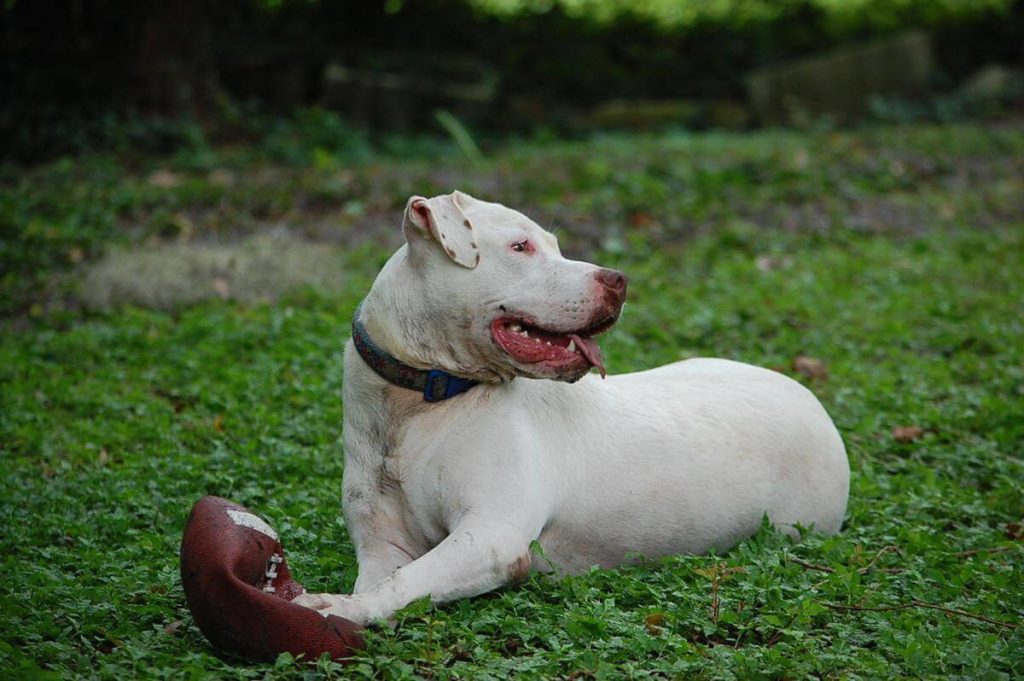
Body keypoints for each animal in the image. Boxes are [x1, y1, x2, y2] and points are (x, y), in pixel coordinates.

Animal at [294, 189, 847, 622]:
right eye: (520, 246)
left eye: (555, 246)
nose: (618, 279)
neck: (420, 404)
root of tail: (807, 396)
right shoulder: (382, 544)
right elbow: (388, 578)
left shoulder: (492, 535)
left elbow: (405, 583)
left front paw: (336, 609)